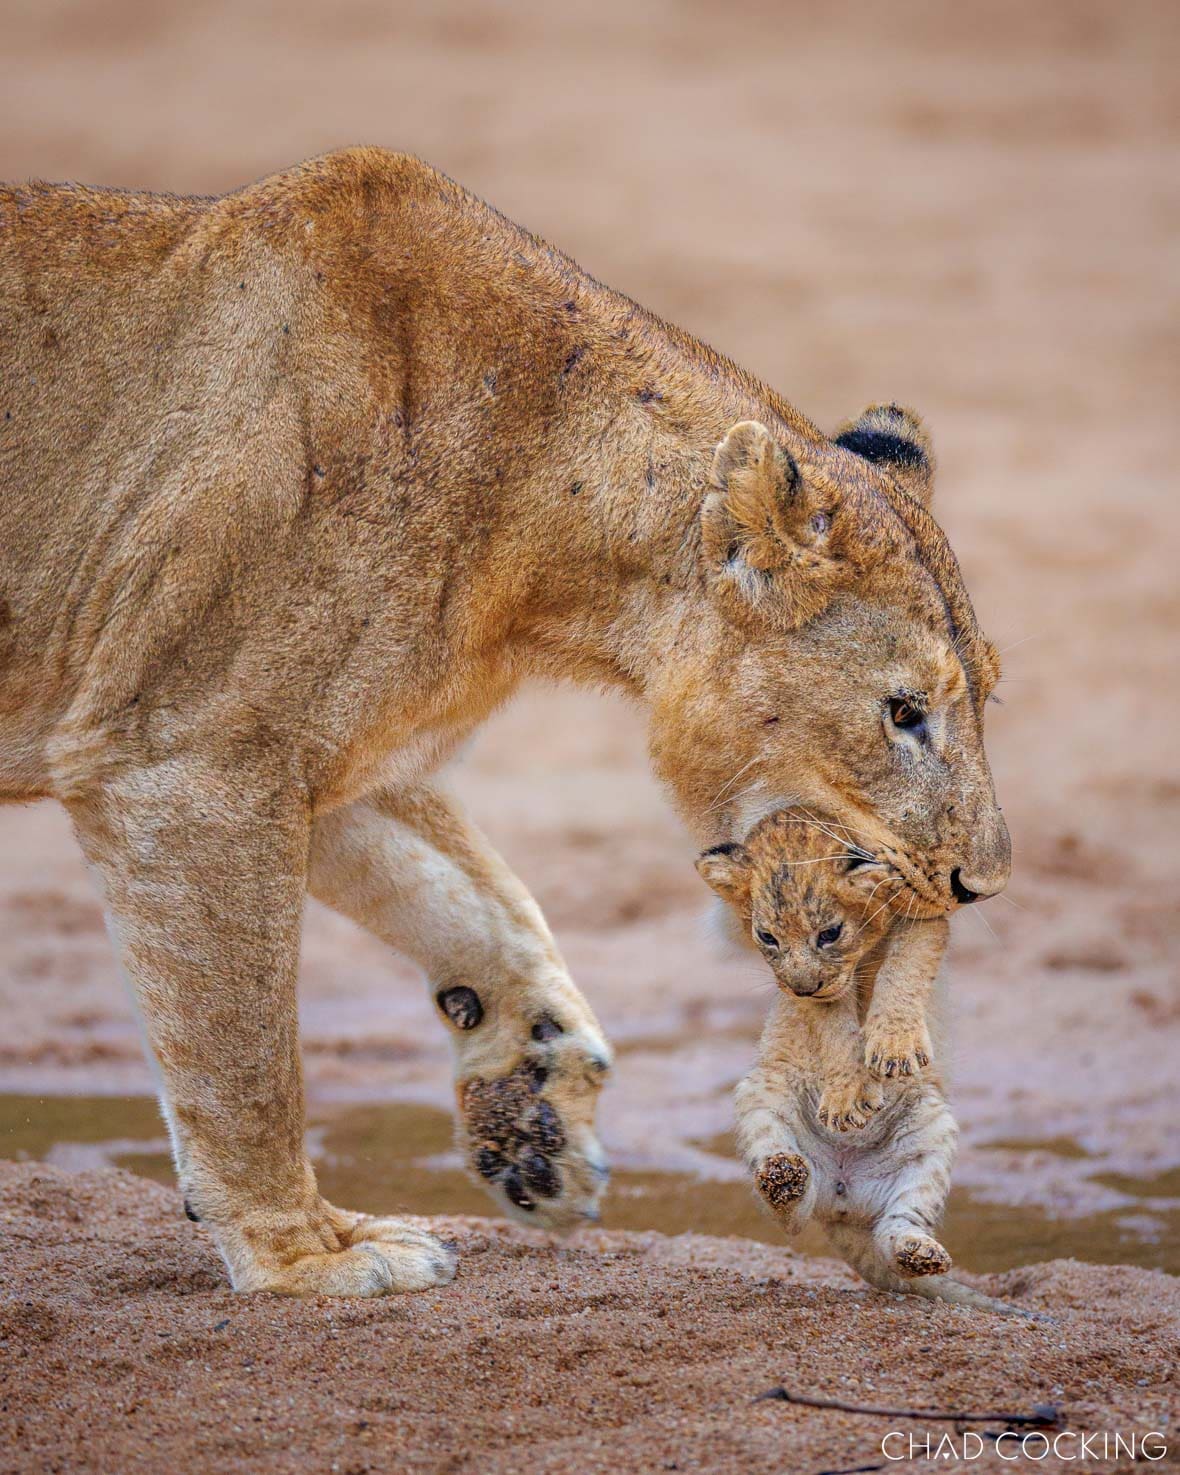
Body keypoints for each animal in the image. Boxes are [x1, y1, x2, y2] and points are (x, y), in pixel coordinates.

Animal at [697, 810, 1029, 1315]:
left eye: (829, 934)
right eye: (767, 937)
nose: (801, 987)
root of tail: (842, 1200)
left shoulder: (928, 913)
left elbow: (906, 967)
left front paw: (892, 1047)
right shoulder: (820, 995)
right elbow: (835, 1026)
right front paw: (847, 1098)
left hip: (930, 1132)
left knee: (899, 1223)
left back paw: (919, 1252)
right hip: (762, 1096)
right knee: (791, 1214)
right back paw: (783, 1178)